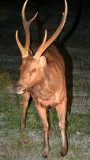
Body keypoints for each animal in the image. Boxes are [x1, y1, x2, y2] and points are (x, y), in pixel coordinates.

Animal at [13, 0, 68, 158]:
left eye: (33, 69)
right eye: (20, 68)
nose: (16, 87)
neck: (48, 92)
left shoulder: (64, 99)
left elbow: (62, 124)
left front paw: (64, 150)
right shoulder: (38, 103)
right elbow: (44, 125)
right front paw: (45, 151)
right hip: (27, 93)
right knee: (25, 104)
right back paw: (22, 127)